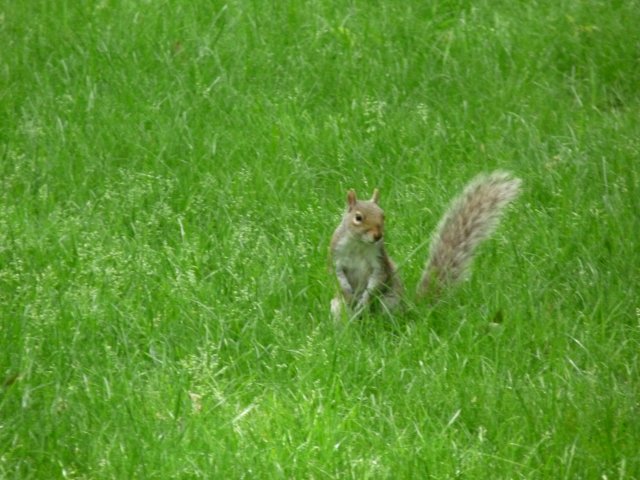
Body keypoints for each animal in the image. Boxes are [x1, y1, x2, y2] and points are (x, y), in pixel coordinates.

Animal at [332, 171, 524, 316]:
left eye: (383, 215)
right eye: (358, 218)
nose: (378, 236)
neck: (358, 244)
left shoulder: (378, 260)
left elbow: (377, 278)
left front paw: (364, 299)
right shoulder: (336, 254)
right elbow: (338, 274)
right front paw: (349, 293)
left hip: (389, 302)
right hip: (336, 306)